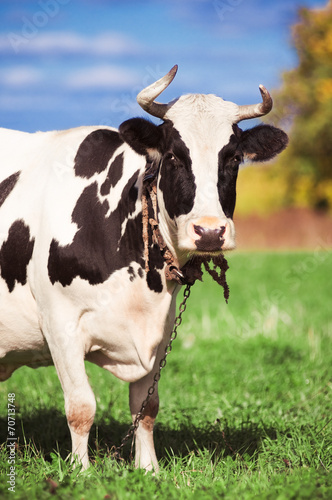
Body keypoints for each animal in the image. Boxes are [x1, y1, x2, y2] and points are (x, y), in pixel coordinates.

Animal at [0, 66, 286, 472]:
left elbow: (146, 406)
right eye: (174, 156)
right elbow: (81, 406)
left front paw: (148, 468)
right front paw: (81, 471)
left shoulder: (160, 330)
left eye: (232, 158)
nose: (209, 231)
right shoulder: (59, 322)